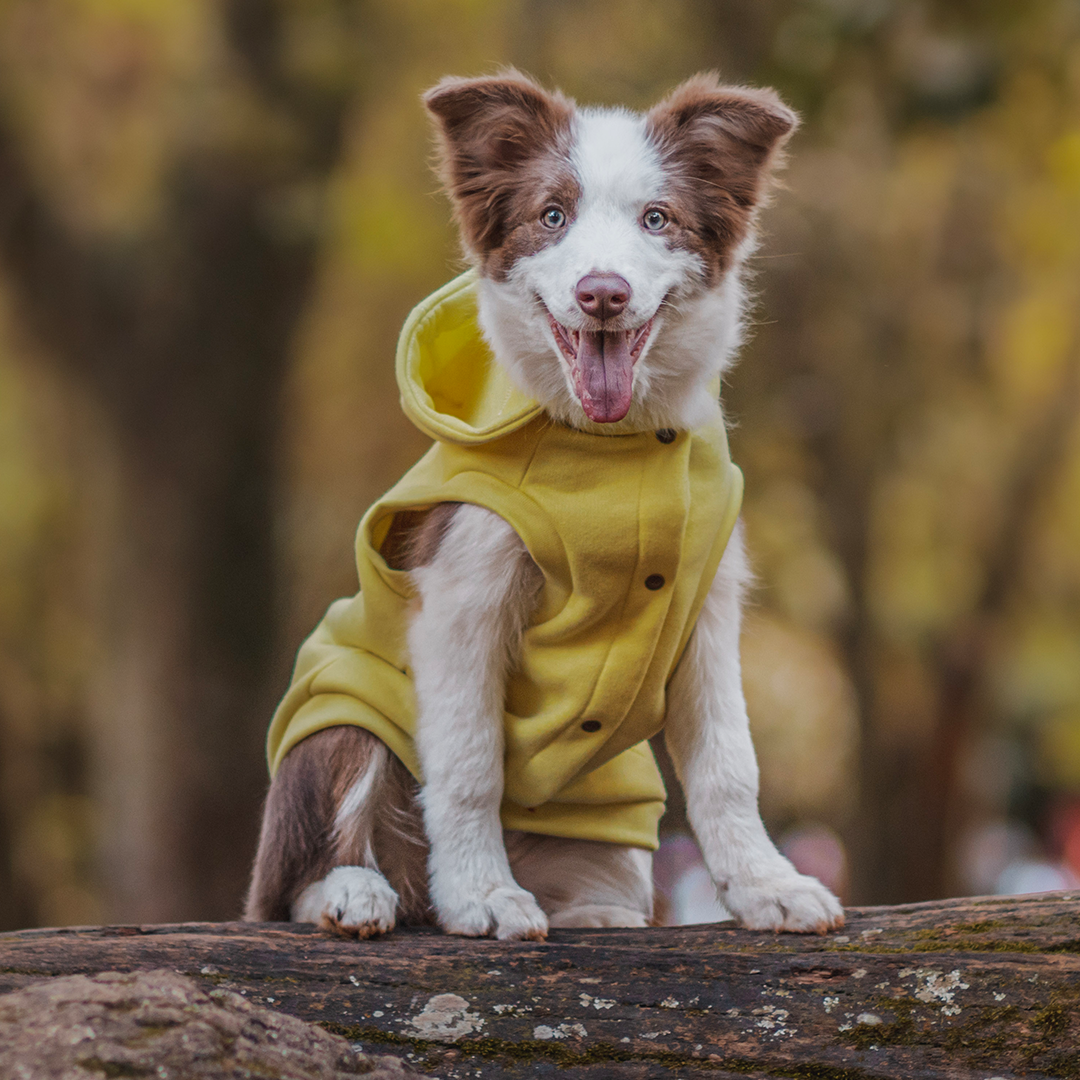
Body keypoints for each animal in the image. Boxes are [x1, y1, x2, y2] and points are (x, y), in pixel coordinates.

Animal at [243, 71, 842, 941]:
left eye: (657, 218)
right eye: (552, 215)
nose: (602, 294)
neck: (611, 447)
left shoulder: (706, 604)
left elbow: (729, 764)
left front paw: (770, 886)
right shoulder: (464, 597)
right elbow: (468, 766)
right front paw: (482, 896)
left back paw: (591, 911)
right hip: (343, 713)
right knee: (290, 878)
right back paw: (354, 892)